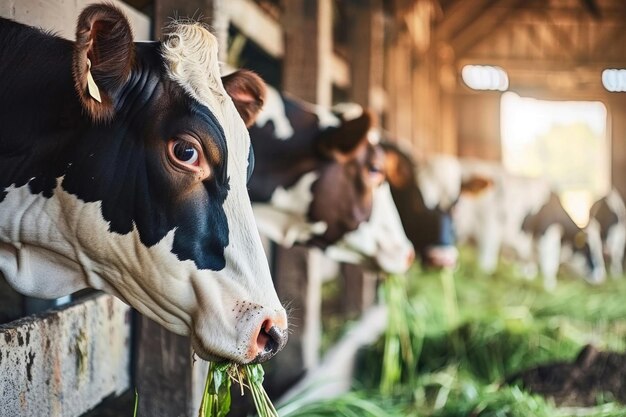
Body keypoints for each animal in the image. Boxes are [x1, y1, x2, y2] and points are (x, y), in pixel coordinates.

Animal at [450, 159, 604, 290]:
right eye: (588, 249)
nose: (600, 277)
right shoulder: (546, 237)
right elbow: (549, 266)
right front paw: (550, 289)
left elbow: (530, 268)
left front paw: (528, 279)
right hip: (486, 230)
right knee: (486, 262)